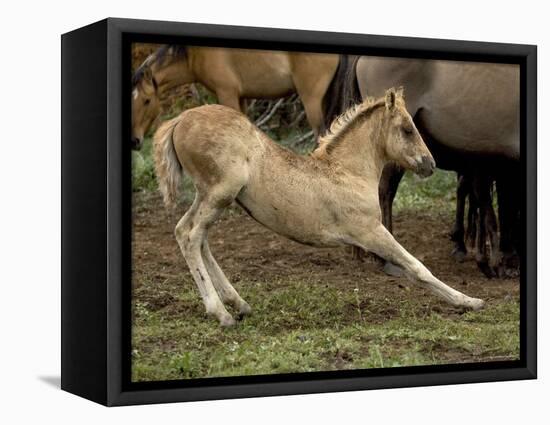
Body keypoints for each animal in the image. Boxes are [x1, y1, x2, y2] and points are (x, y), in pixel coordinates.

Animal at [134, 44, 340, 147]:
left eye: (146, 101)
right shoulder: (242, 98)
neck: (195, 54)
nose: (134, 141)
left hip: (311, 101)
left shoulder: (227, 94)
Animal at [153, 86, 486, 324]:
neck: (348, 172)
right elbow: (417, 267)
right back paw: (221, 313)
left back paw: (239, 304)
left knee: (192, 234)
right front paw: (469, 301)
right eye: (407, 128)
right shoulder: (370, 231)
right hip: (219, 193)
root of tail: (180, 119)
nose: (430, 164)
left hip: (209, 196)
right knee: (191, 236)